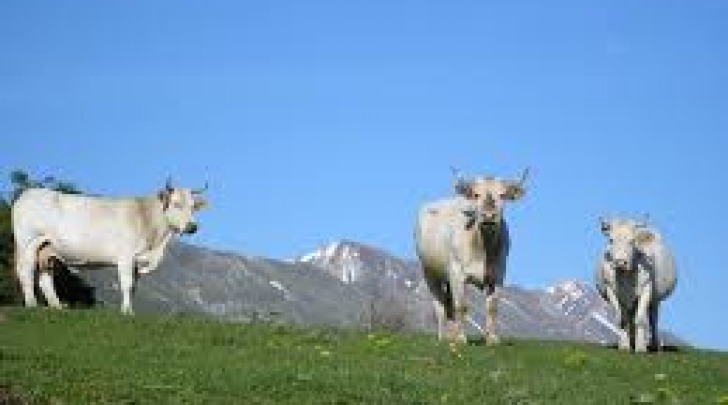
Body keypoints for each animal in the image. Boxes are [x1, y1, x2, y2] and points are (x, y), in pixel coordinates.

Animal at [11, 178, 208, 314]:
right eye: (176, 204)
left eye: (193, 206)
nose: (192, 227)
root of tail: (26, 194)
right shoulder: (126, 257)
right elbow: (127, 284)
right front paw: (127, 312)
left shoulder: (137, 261)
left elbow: (133, 287)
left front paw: (129, 309)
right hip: (28, 243)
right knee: (26, 271)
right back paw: (31, 304)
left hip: (46, 249)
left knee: (45, 278)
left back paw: (57, 306)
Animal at [416, 168, 528, 344]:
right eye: (476, 194)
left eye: (502, 195)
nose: (488, 216)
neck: (483, 249)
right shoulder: (456, 273)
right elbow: (461, 306)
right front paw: (462, 338)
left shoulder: (498, 275)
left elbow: (492, 307)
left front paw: (492, 338)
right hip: (429, 272)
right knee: (439, 304)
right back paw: (443, 337)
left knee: (448, 303)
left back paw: (451, 335)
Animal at [596, 216, 676, 352]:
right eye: (611, 240)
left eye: (632, 241)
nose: (620, 262)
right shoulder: (611, 289)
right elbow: (621, 318)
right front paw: (624, 346)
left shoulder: (646, 288)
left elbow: (640, 318)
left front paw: (640, 347)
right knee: (630, 317)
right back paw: (631, 341)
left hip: (655, 299)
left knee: (653, 319)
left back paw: (653, 345)